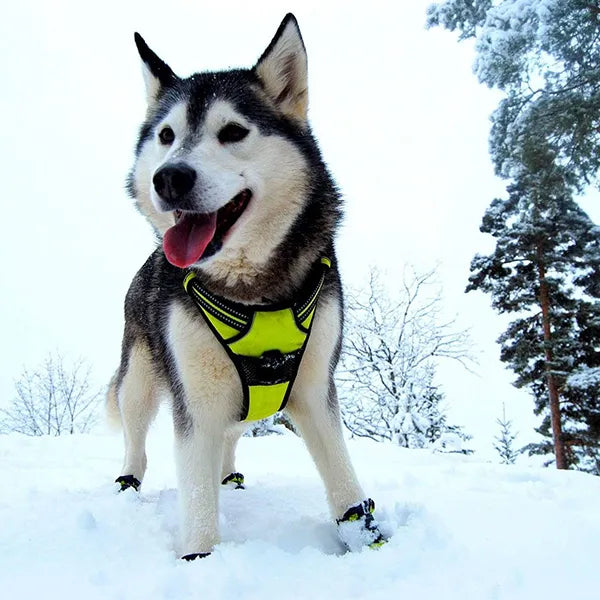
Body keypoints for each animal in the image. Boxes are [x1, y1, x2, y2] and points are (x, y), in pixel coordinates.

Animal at [107, 12, 384, 556]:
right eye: (166, 135)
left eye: (233, 131)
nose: (168, 178)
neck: (253, 291)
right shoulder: (195, 397)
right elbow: (196, 501)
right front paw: (199, 558)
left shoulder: (316, 388)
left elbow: (343, 479)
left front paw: (366, 539)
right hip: (139, 380)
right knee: (137, 440)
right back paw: (128, 485)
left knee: (231, 435)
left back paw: (228, 475)